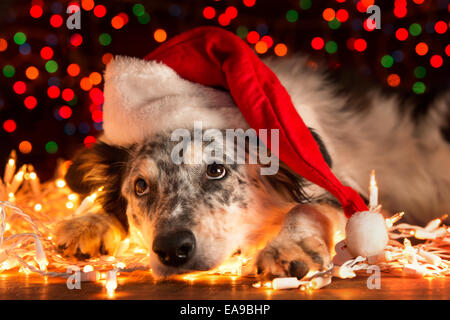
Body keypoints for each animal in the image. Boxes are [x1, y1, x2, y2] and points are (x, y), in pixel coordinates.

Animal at [55, 54, 450, 278]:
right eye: (140, 186)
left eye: (216, 170)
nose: (171, 249)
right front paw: (87, 222)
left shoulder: (349, 193)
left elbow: (305, 210)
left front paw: (289, 246)